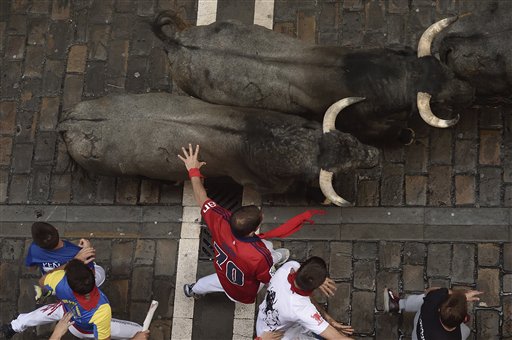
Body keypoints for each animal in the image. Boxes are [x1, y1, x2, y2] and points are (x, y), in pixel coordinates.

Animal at [153, 11, 476, 145]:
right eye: (440, 94)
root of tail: (176, 42)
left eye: (445, 68)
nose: (469, 90)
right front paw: (405, 136)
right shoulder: (364, 125)